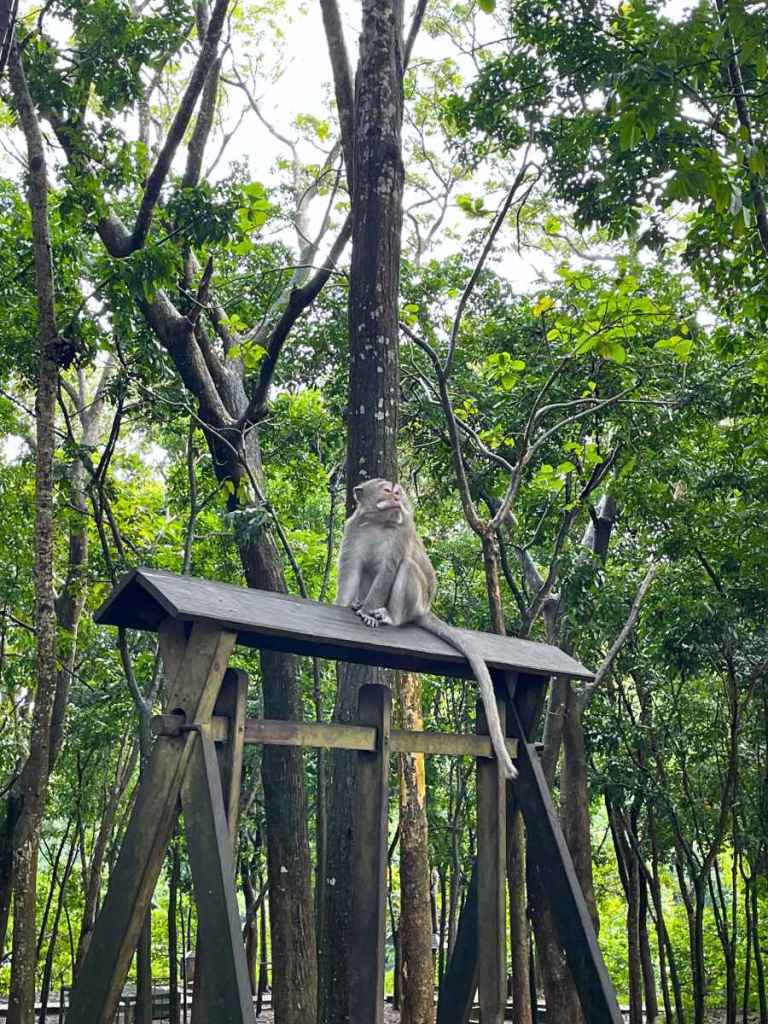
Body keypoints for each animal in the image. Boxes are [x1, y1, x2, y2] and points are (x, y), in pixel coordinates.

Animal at [336, 478, 517, 780]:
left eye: (398, 492)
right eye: (387, 490)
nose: (397, 498)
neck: (378, 523)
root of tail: (424, 609)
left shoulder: (402, 531)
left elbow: (387, 571)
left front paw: (368, 613)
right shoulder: (354, 529)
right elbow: (351, 572)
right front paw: (346, 605)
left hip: (415, 601)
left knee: (407, 566)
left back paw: (389, 616)